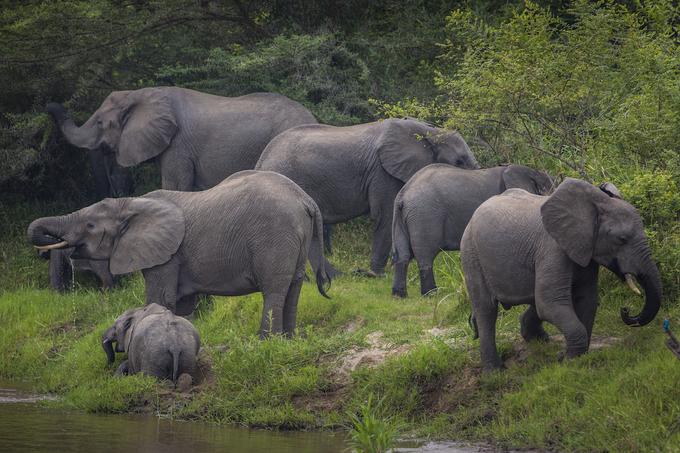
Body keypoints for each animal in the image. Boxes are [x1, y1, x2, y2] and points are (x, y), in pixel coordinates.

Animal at [255, 117, 478, 276]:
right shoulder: (383, 172)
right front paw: (377, 275)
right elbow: (385, 216)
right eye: (459, 161)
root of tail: (261, 160)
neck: (429, 132)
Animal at [390, 163, 556, 296]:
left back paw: (399, 295)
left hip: (400, 216)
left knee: (402, 254)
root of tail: (403, 194)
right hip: (425, 214)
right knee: (425, 255)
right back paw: (431, 294)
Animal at [460, 177, 660, 370]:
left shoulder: (585, 250)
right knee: (487, 309)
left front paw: (572, 357)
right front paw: (569, 361)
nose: (625, 310)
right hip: (471, 254)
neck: (594, 204)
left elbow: (586, 299)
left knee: (533, 300)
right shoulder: (552, 248)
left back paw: (540, 341)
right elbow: (550, 302)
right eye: (621, 239)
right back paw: (494, 372)